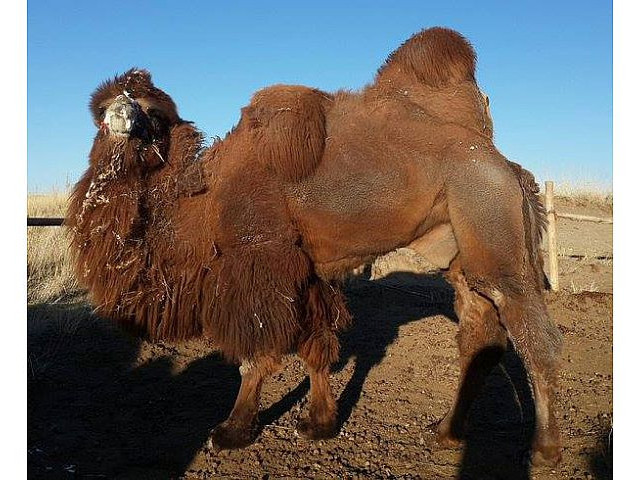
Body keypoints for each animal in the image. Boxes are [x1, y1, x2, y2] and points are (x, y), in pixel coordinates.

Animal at [65, 26, 564, 464]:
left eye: (151, 112)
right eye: (102, 109)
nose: (122, 115)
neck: (201, 203)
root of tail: (501, 160)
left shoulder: (260, 261)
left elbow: (255, 356)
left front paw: (230, 431)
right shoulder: (306, 273)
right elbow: (317, 346)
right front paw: (320, 422)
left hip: (490, 219)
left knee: (530, 331)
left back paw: (543, 450)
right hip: (454, 244)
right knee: (480, 332)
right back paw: (445, 432)